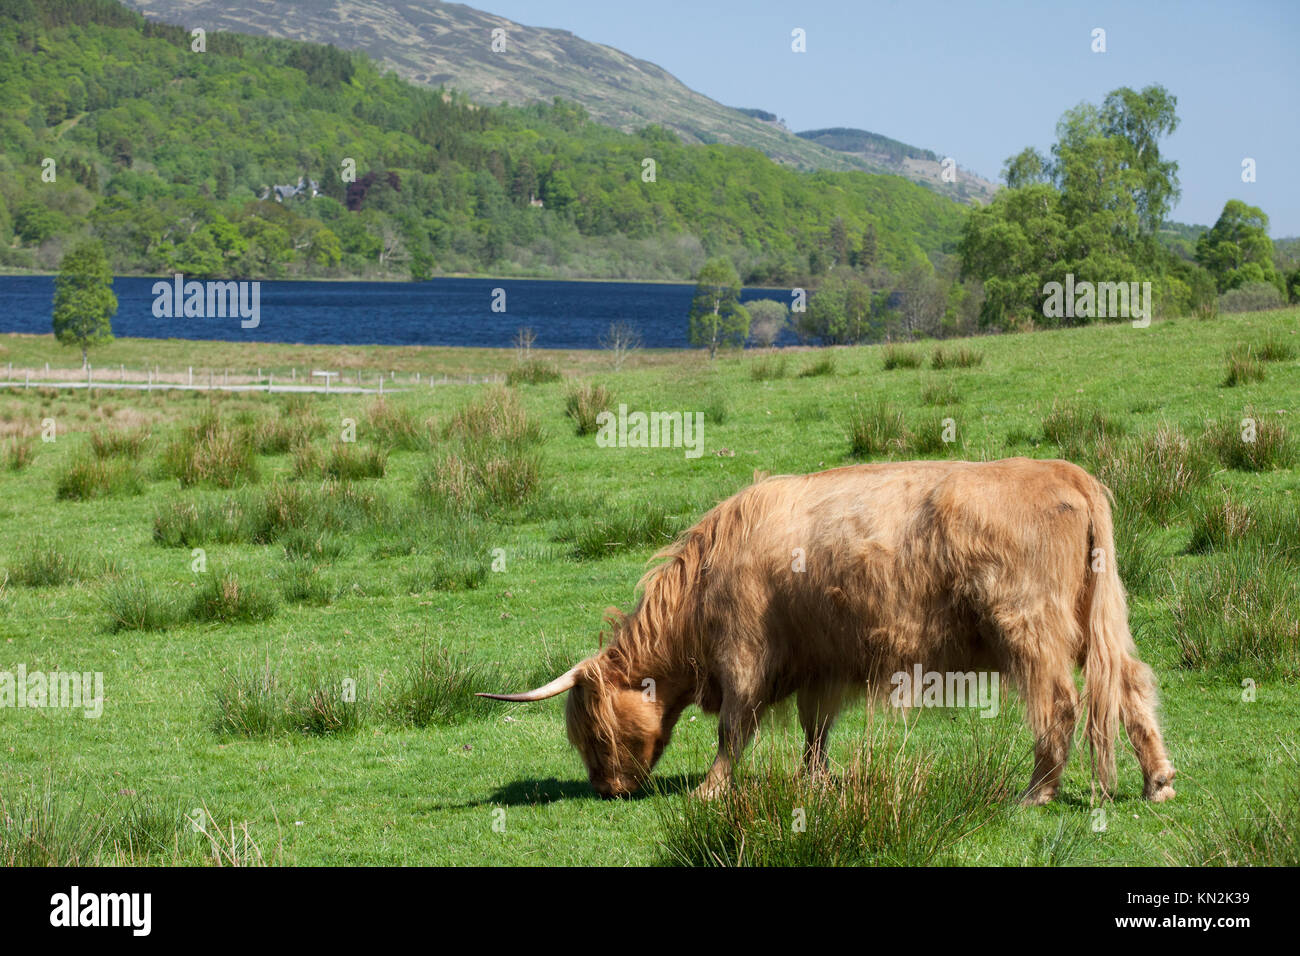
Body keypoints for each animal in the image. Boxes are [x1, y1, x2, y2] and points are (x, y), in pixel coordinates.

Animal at [479, 458, 1176, 805]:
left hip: (1031, 626)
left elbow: (735, 727)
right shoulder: (821, 663)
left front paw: (709, 791)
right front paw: (816, 783)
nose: (607, 789)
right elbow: (816, 730)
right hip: (1097, 618)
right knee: (1132, 685)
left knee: (1059, 703)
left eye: (594, 732)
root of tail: (1067, 472)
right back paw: (1158, 782)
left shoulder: (744, 654)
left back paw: (1035, 794)